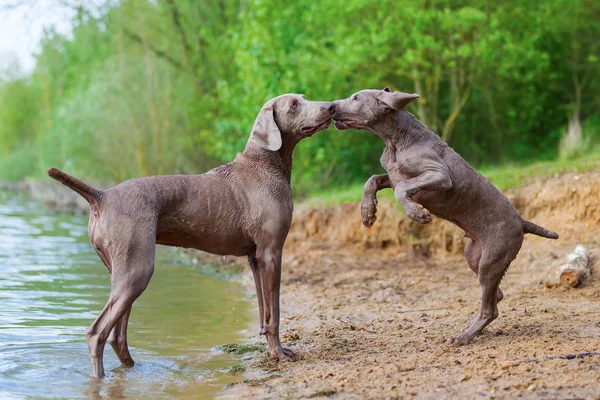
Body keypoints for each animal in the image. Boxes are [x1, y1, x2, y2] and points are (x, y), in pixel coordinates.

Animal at [49, 94, 336, 378]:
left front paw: (273, 350)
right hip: (136, 270)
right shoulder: (271, 252)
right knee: (97, 334)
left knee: (116, 336)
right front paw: (279, 354)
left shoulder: (255, 258)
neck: (263, 165)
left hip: (120, 271)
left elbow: (264, 310)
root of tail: (102, 196)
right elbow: (274, 312)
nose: (331, 107)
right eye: (294, 105)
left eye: (304, 98)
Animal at [332, 87, 556, 344]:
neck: (395, 142)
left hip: (492, 258)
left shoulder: (439, 175)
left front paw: (417, 214)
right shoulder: (392, 175)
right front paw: (368, 213)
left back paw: (463, 337)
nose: (330, 106)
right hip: (474, 255)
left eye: (356, 98)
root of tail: (522, 222)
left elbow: (402, 189)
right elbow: (372, 180)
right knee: (495, 295)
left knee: (490, 308)